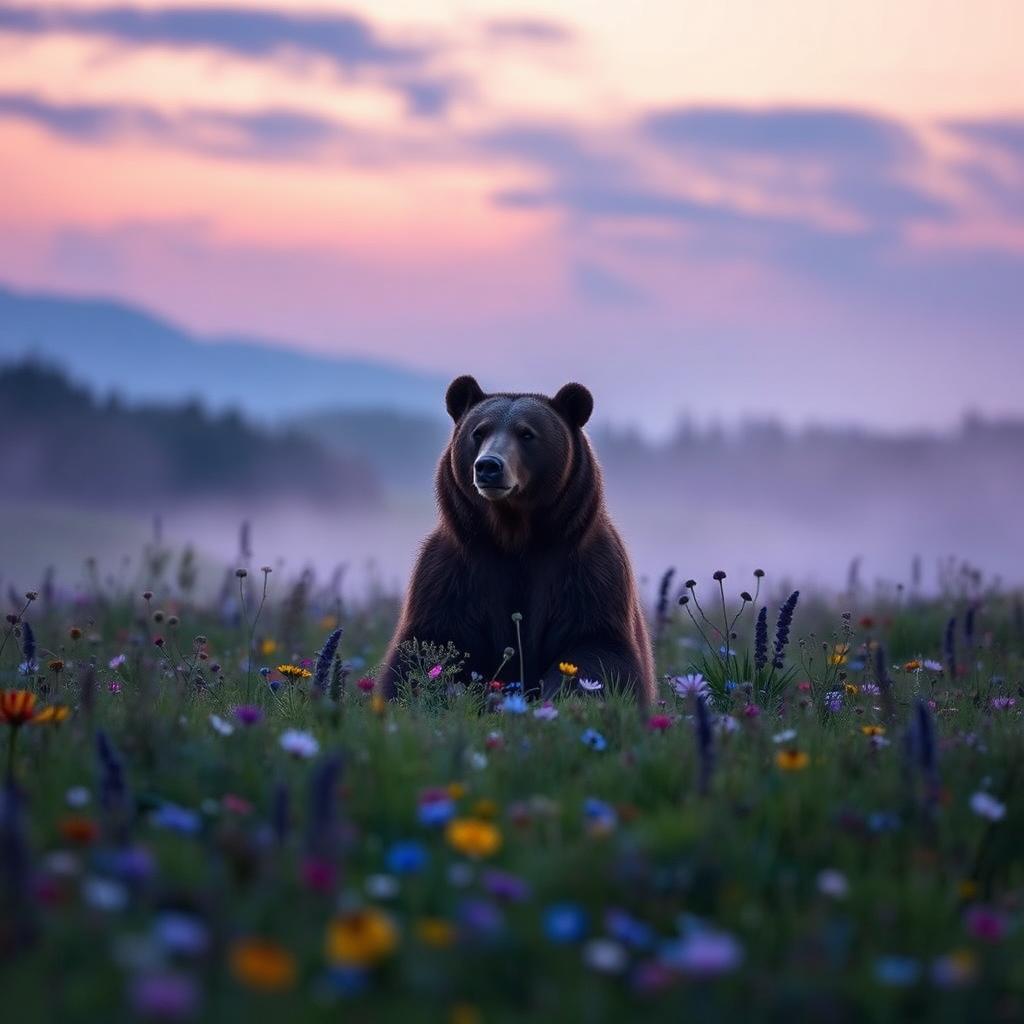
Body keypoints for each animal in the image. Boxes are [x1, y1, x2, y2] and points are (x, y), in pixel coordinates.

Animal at [378, 375, 655, 706]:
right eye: (479, 432)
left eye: (526, 433)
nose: (488, 466)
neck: (514, 534)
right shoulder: (452, 574)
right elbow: (426, 647)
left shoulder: (588, 571)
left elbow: (598, 647)